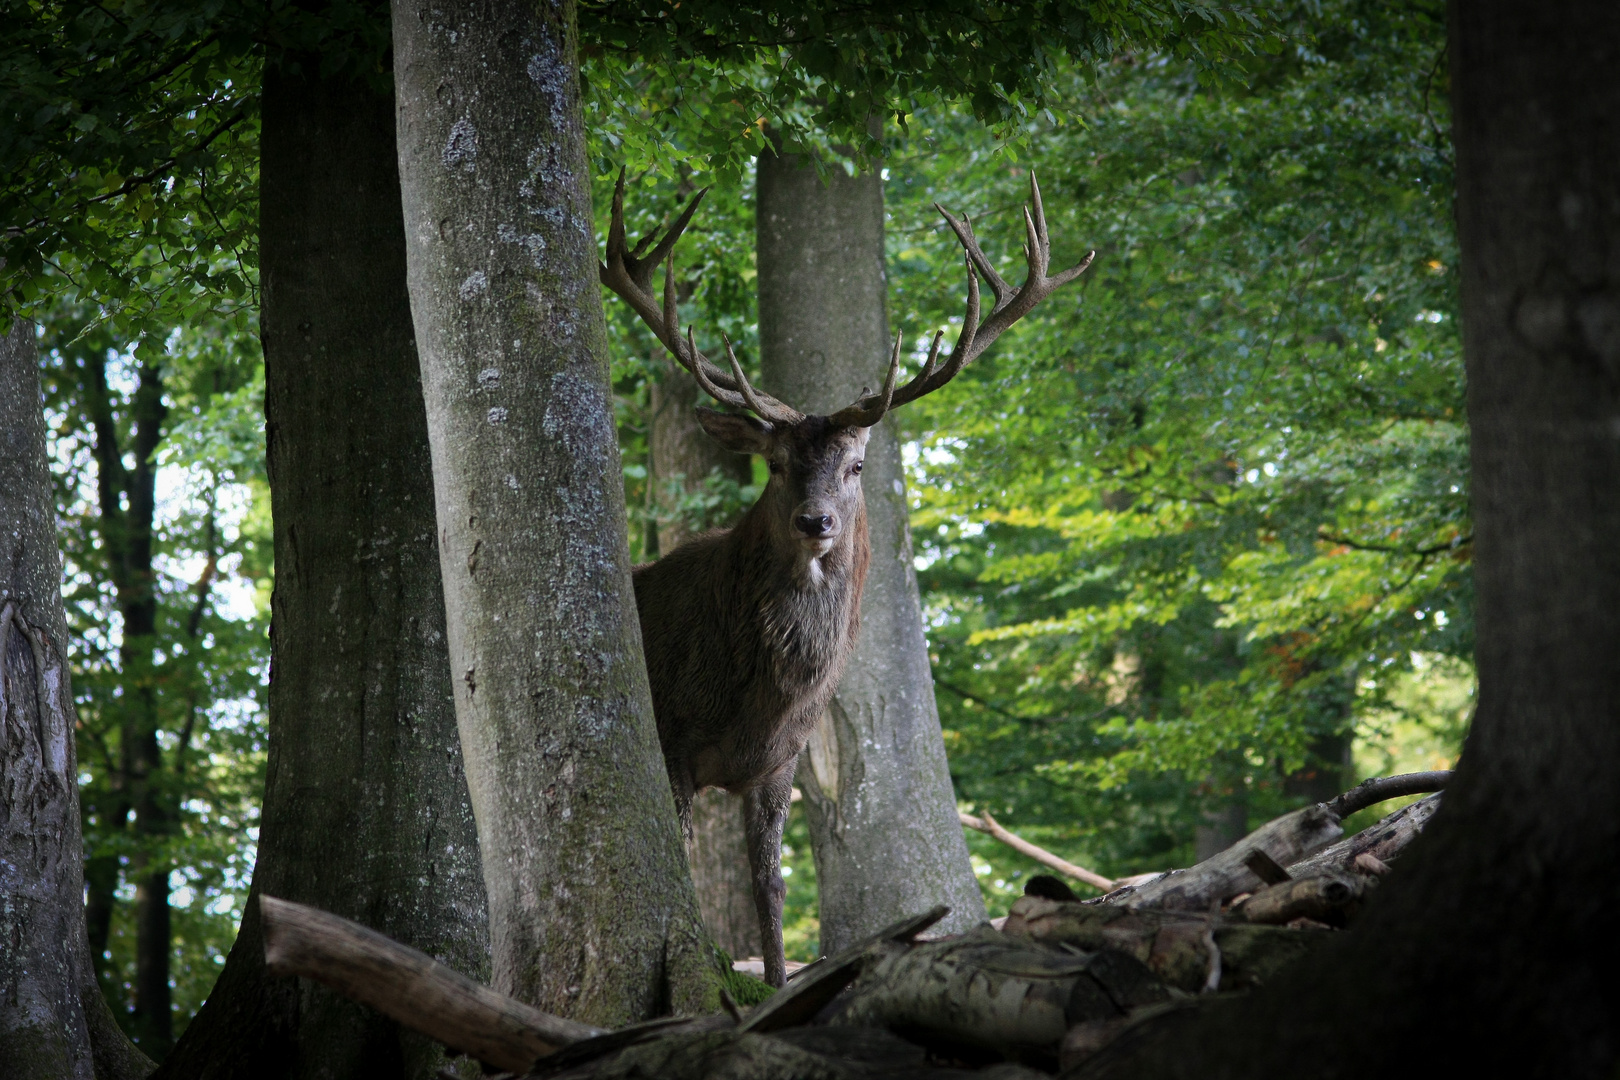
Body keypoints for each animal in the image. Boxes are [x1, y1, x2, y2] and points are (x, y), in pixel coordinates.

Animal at [596, 169, 1088, 990]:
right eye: (776, 464)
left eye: (855, 466)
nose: (815, 521)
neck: (754, 693)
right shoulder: (669, 733)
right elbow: (687, 865)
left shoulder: (780, 761)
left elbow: (769, 885)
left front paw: (773, 983)